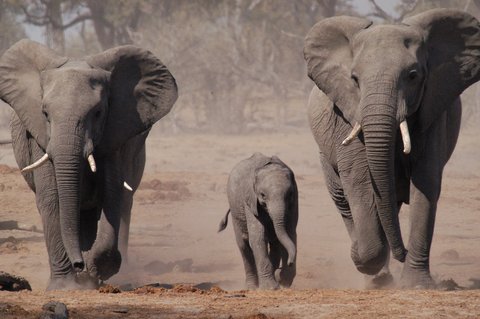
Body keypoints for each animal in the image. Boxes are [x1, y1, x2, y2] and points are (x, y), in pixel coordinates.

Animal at [0, 39, 178, 290]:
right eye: (45, 113)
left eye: (98, 112)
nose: (78, 264)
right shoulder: (38, 137)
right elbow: (51, 198)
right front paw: (65, 287)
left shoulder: (115, 133)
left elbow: (111, 196)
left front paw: (96, 269)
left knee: (122, 203)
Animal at [219, 154, 298, 292]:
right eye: (263, 195)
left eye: (289, 194)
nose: (289, 262)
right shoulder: (250, 200)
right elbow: (257, 237)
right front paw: (270, 288)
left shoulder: (294, 201)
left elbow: (290, 233)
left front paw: (283, 281)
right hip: (235, 212)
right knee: (243, 245)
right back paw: (252, 287)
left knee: (275, 243)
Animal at [304, 8, 480, 288]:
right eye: (354, 79)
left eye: (413, 76)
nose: (403, 253)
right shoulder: (348, 117)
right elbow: (360, 181)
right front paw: (363, 259)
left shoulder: (432, 114)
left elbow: (425, 184)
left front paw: (417, 284)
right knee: (344, 200)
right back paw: (375, 273)